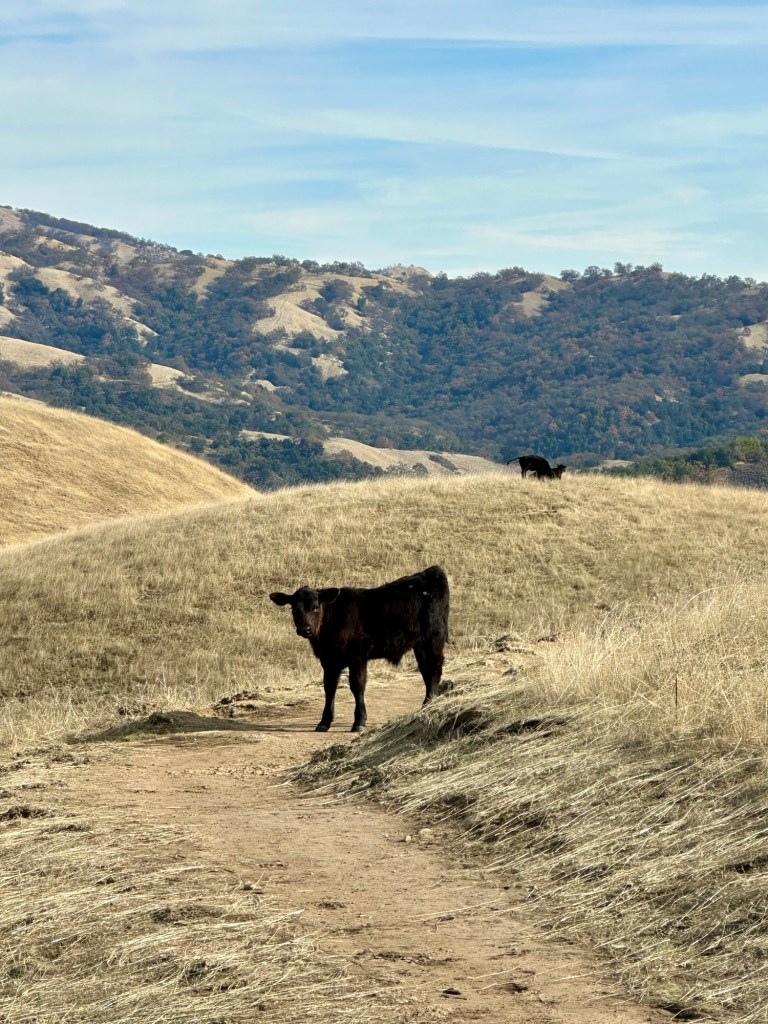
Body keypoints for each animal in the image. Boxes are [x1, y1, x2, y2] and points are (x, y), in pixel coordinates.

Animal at [269, 565, 449, 733]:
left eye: (315, 607)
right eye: (294, 609)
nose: (305, 629)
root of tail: (431, 572)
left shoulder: (357, 655)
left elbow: (357, 685)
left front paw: (359, 721)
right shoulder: (328, 660)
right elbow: (329, 687)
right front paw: (324, 721)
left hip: (433, 639)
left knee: (434, 670)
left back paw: (429, 704)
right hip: (420, 645)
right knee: (426, 671)